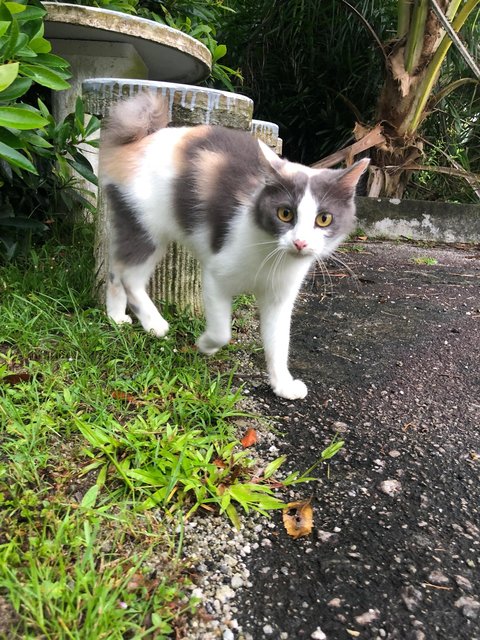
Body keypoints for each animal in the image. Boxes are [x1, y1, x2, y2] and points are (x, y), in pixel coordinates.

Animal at [98, 92, 368, 400]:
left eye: (324, 219)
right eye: (285, 213)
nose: (300, 242)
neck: (272, 256)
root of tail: (139, 137)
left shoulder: (280, 297)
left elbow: (278, 342)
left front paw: (283, 385)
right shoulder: (216, 275)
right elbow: (222, 331)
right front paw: (206, 344)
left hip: (131, 223)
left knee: (115, 270)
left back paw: (115, 317)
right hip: (146, 227)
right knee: (130, 277)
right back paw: (155, 323)